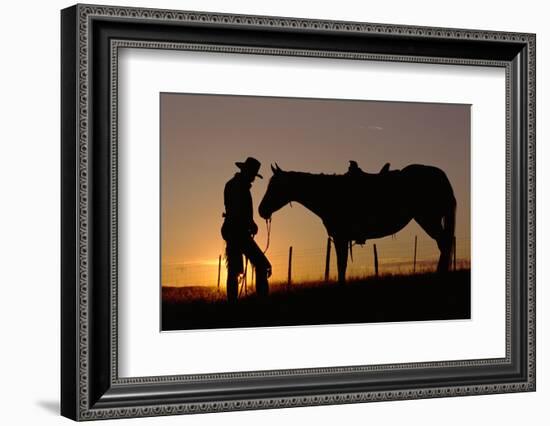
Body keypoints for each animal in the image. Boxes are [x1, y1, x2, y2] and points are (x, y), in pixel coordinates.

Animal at [258, 163, 458, 282]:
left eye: (275, 186)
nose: (261, 210)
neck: (328, 194)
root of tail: (440, 174)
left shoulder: (340, 238)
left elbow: (341, 265)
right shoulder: (342, 238)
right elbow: (342, 265)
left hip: (428, 218)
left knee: (444, 243)